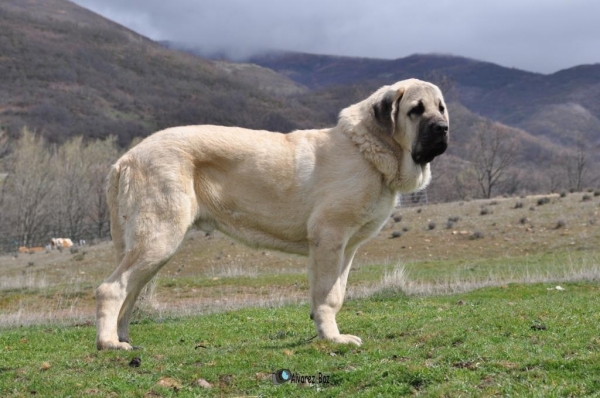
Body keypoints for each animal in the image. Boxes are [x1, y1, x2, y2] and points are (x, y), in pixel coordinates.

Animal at [96, 79, 448, 350]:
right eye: (416, 110)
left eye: (441, 108)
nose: (443, 129)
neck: (368, 151)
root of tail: (125, 159)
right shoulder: (329, 237)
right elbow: (327, 295)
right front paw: (333, 339)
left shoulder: (345, 248)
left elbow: (335, 293)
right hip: (159, 237)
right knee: (111, 288)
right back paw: (109, 343)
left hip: (150, 247)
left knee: (130, 292)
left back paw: (123, 338)